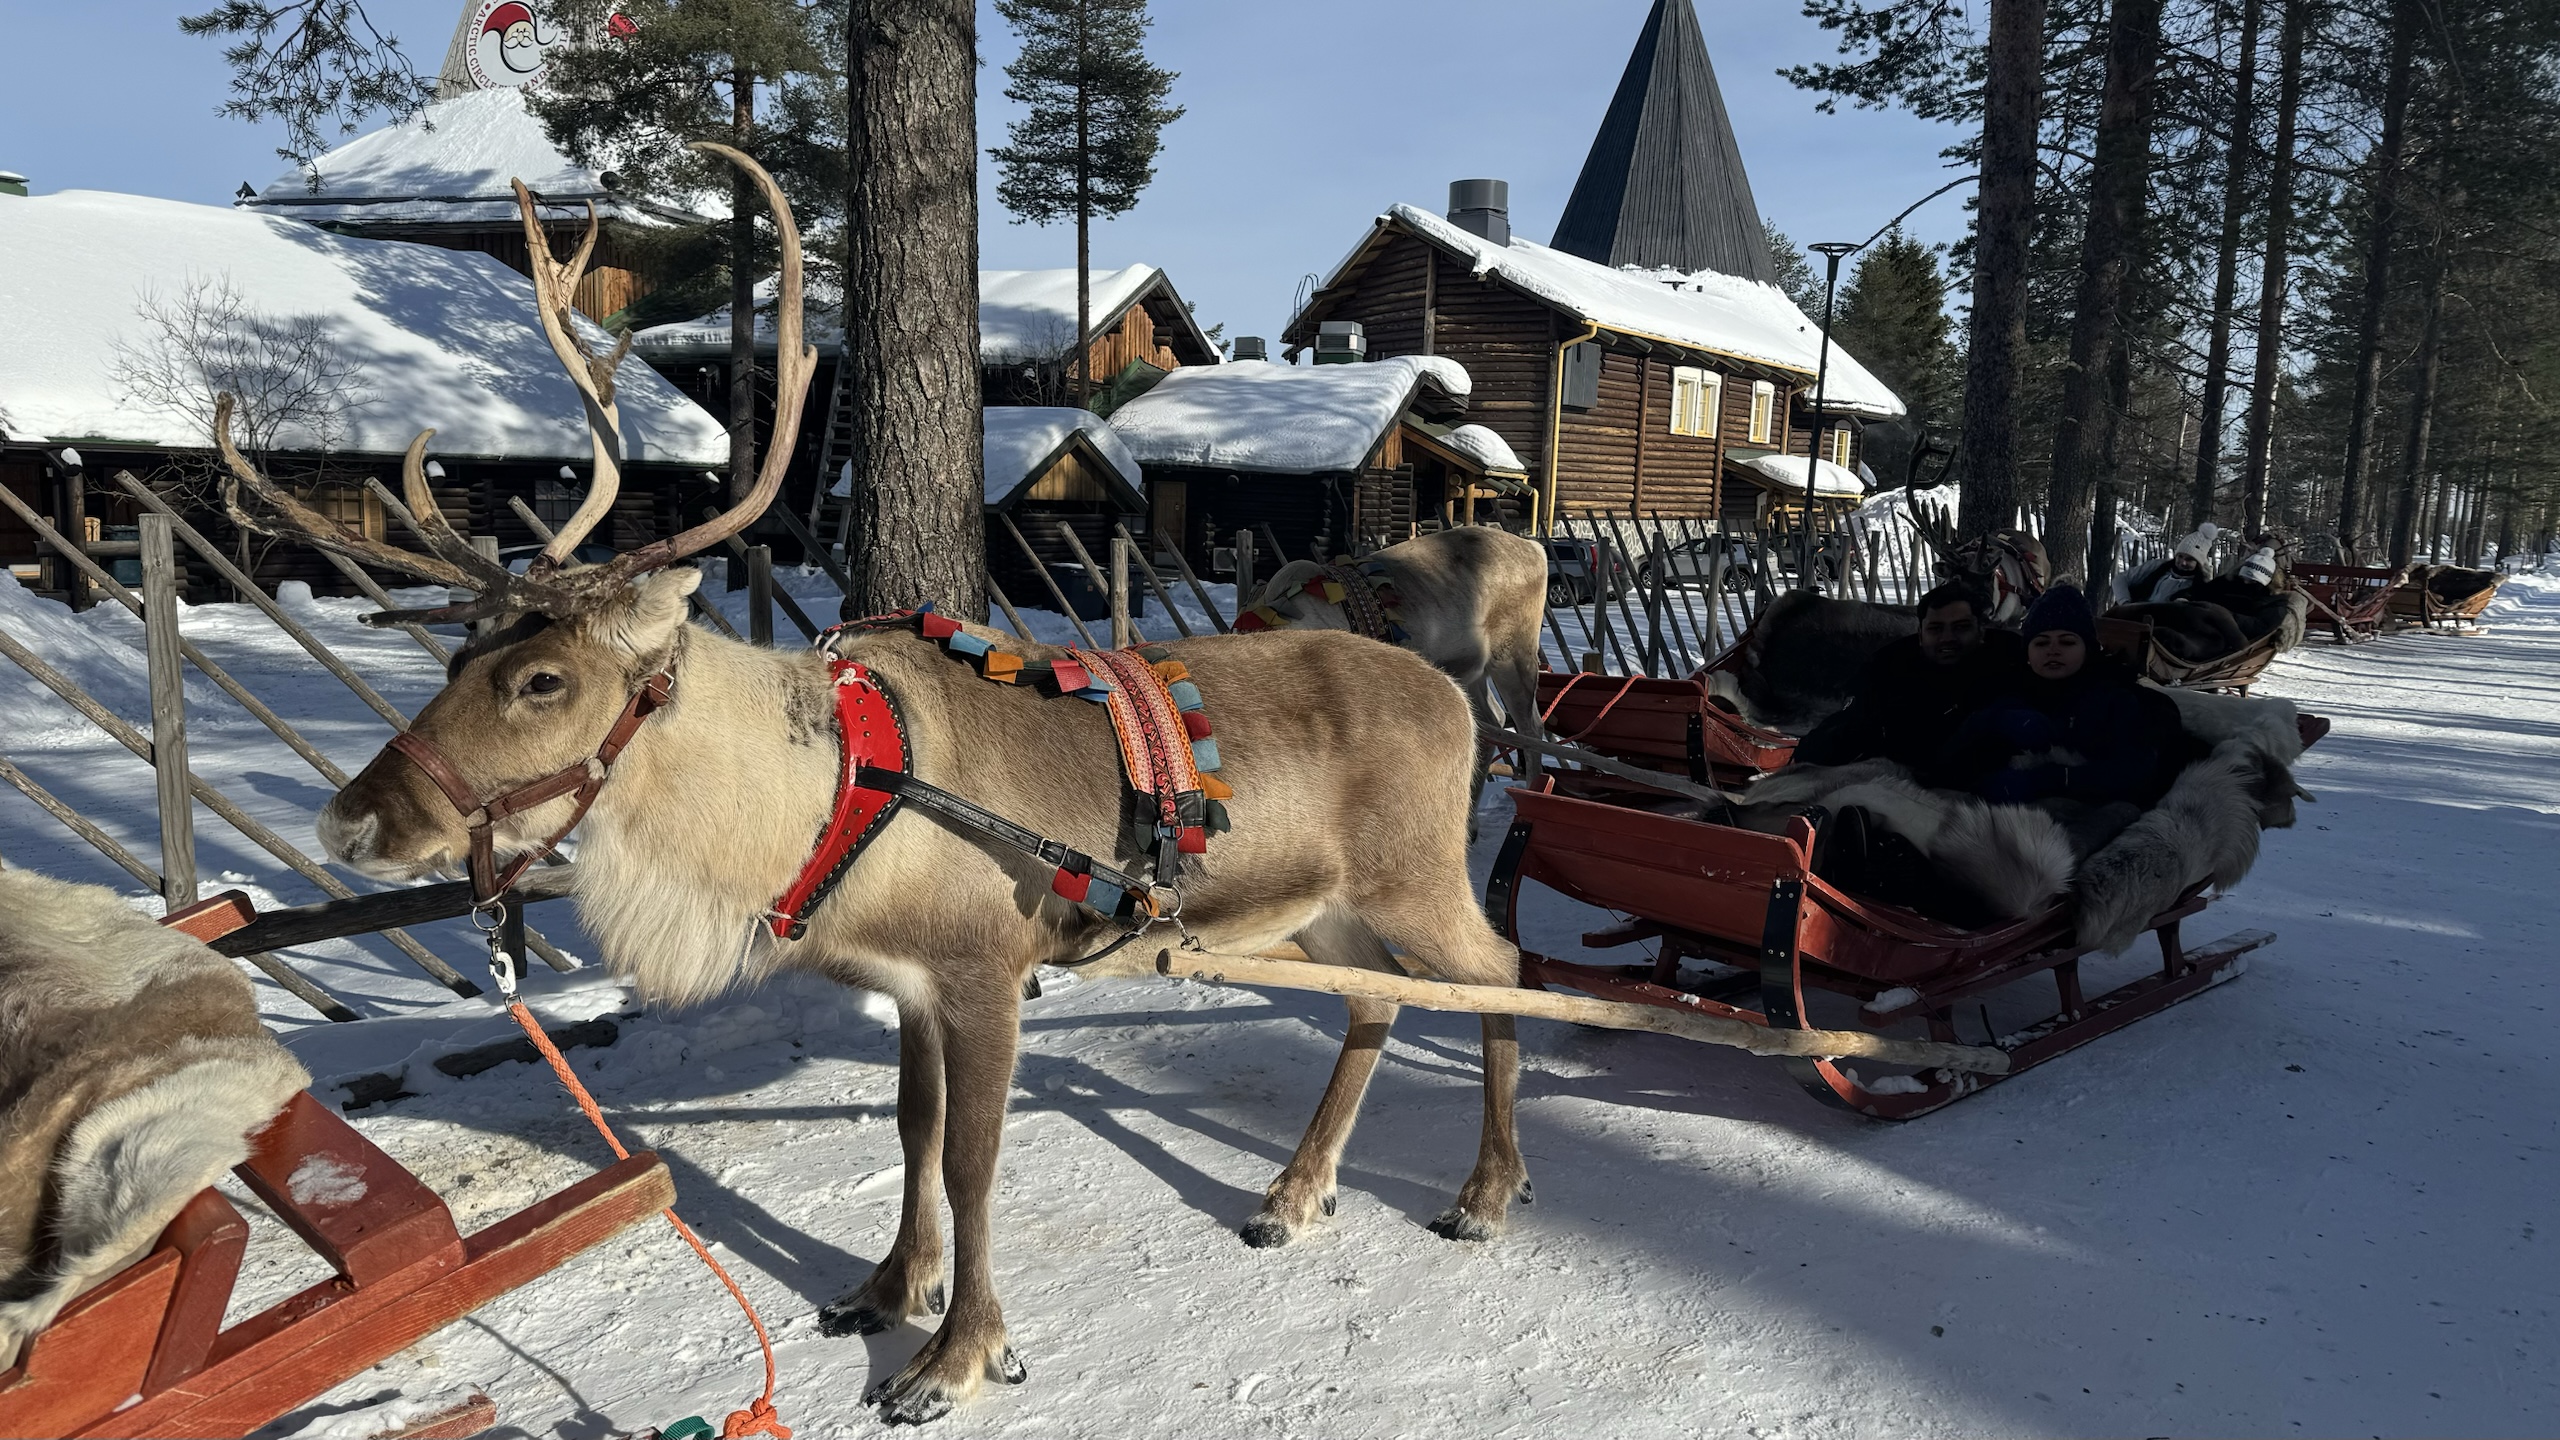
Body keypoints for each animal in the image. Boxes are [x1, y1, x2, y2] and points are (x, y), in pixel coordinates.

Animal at [220, 147, 1529, 1426]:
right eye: (456, 658)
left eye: (543, 678)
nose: (349, 820)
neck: (821, 795)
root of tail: (1457, 694)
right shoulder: (907, 986)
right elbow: (913, 1133)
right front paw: (891, 1287)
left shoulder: (986, 971)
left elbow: (973, 1159)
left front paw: (957, 1354)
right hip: (1320, 907)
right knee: (1376, 1002)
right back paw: (1294, 1193)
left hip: (1415, 880)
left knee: (1502, 970)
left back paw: (1486, 1189)